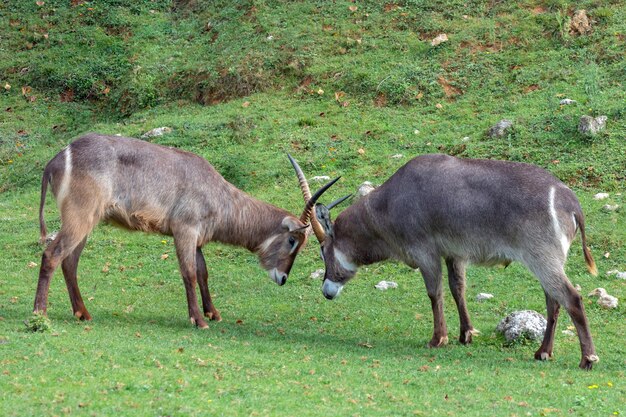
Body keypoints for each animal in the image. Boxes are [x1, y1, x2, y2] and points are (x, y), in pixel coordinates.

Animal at [36, 133, 334, 328]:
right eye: (293, 240)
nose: (282, 278)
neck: (219, 195)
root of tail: (57, 158)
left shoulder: (198, 238)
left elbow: (203, 273)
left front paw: (213, 313)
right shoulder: (185, 231)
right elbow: (189, 273)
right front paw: (199, 320)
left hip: (87, 222)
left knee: (69, 262)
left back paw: (82, 313)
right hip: (80, 217)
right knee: (52, 254)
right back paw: (40, 313)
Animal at [290, 152, 596, 368]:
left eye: (322, 249)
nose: (327, 291)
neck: (388, 203)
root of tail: (570, 200)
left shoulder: (426, 253)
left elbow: (434, 293)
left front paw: (438, 339)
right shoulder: (454, 254)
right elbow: (457, 289)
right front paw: (465, 334)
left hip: (542, 260)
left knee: (571, 298)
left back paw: (587, 359)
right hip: (547, 263)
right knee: (554, 303)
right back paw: (543, 352)